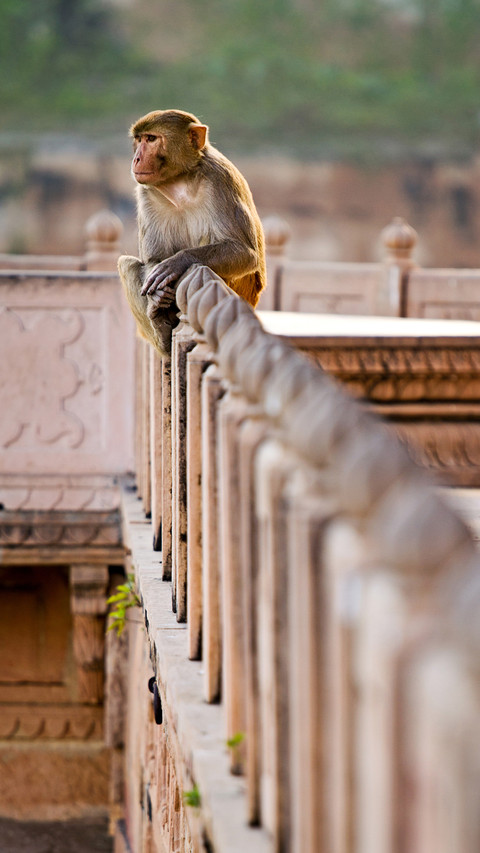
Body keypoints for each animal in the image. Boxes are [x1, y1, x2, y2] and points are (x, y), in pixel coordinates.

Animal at [117, 109, 266, 355]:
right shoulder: (146, 191)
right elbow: (152, 259)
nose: (136, 159)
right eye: (139, 140)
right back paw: (161, 328)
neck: (180, 181)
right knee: (127, 265)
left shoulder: (220, 180)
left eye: (151, 139)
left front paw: (178, 262)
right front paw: (157, 296)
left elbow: (246, 253)